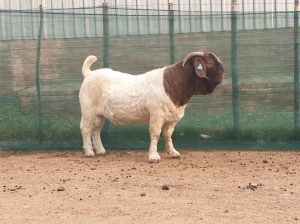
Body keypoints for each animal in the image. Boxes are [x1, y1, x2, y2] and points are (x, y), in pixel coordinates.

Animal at [78, 51, 224, 162]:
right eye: (209, 62)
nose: (222, 75)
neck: (173, 83)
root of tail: (89, 74)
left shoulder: (171, 117)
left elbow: (168, 134)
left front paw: (173, 153)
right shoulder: (157, 113)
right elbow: (155, 133)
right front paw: (154, 156)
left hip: (100, 114)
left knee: (95, 130)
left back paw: (100, 150)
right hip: (88, 110)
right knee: (85, 128)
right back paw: (89, 152)